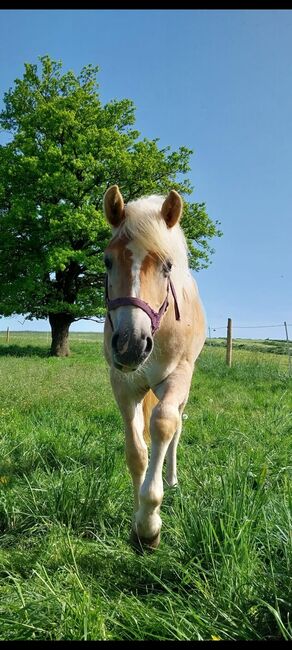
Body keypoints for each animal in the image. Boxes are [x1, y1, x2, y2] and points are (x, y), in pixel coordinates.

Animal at [102, 185, 205, 548]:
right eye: (107, 260)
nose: (131, 343)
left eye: (167, 266)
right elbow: (137, 452)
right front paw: (137, 520)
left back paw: (172, 479)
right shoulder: (123, 385)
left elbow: (163, 425)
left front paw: (150, 525)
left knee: (176, 429)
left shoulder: (177, 379)